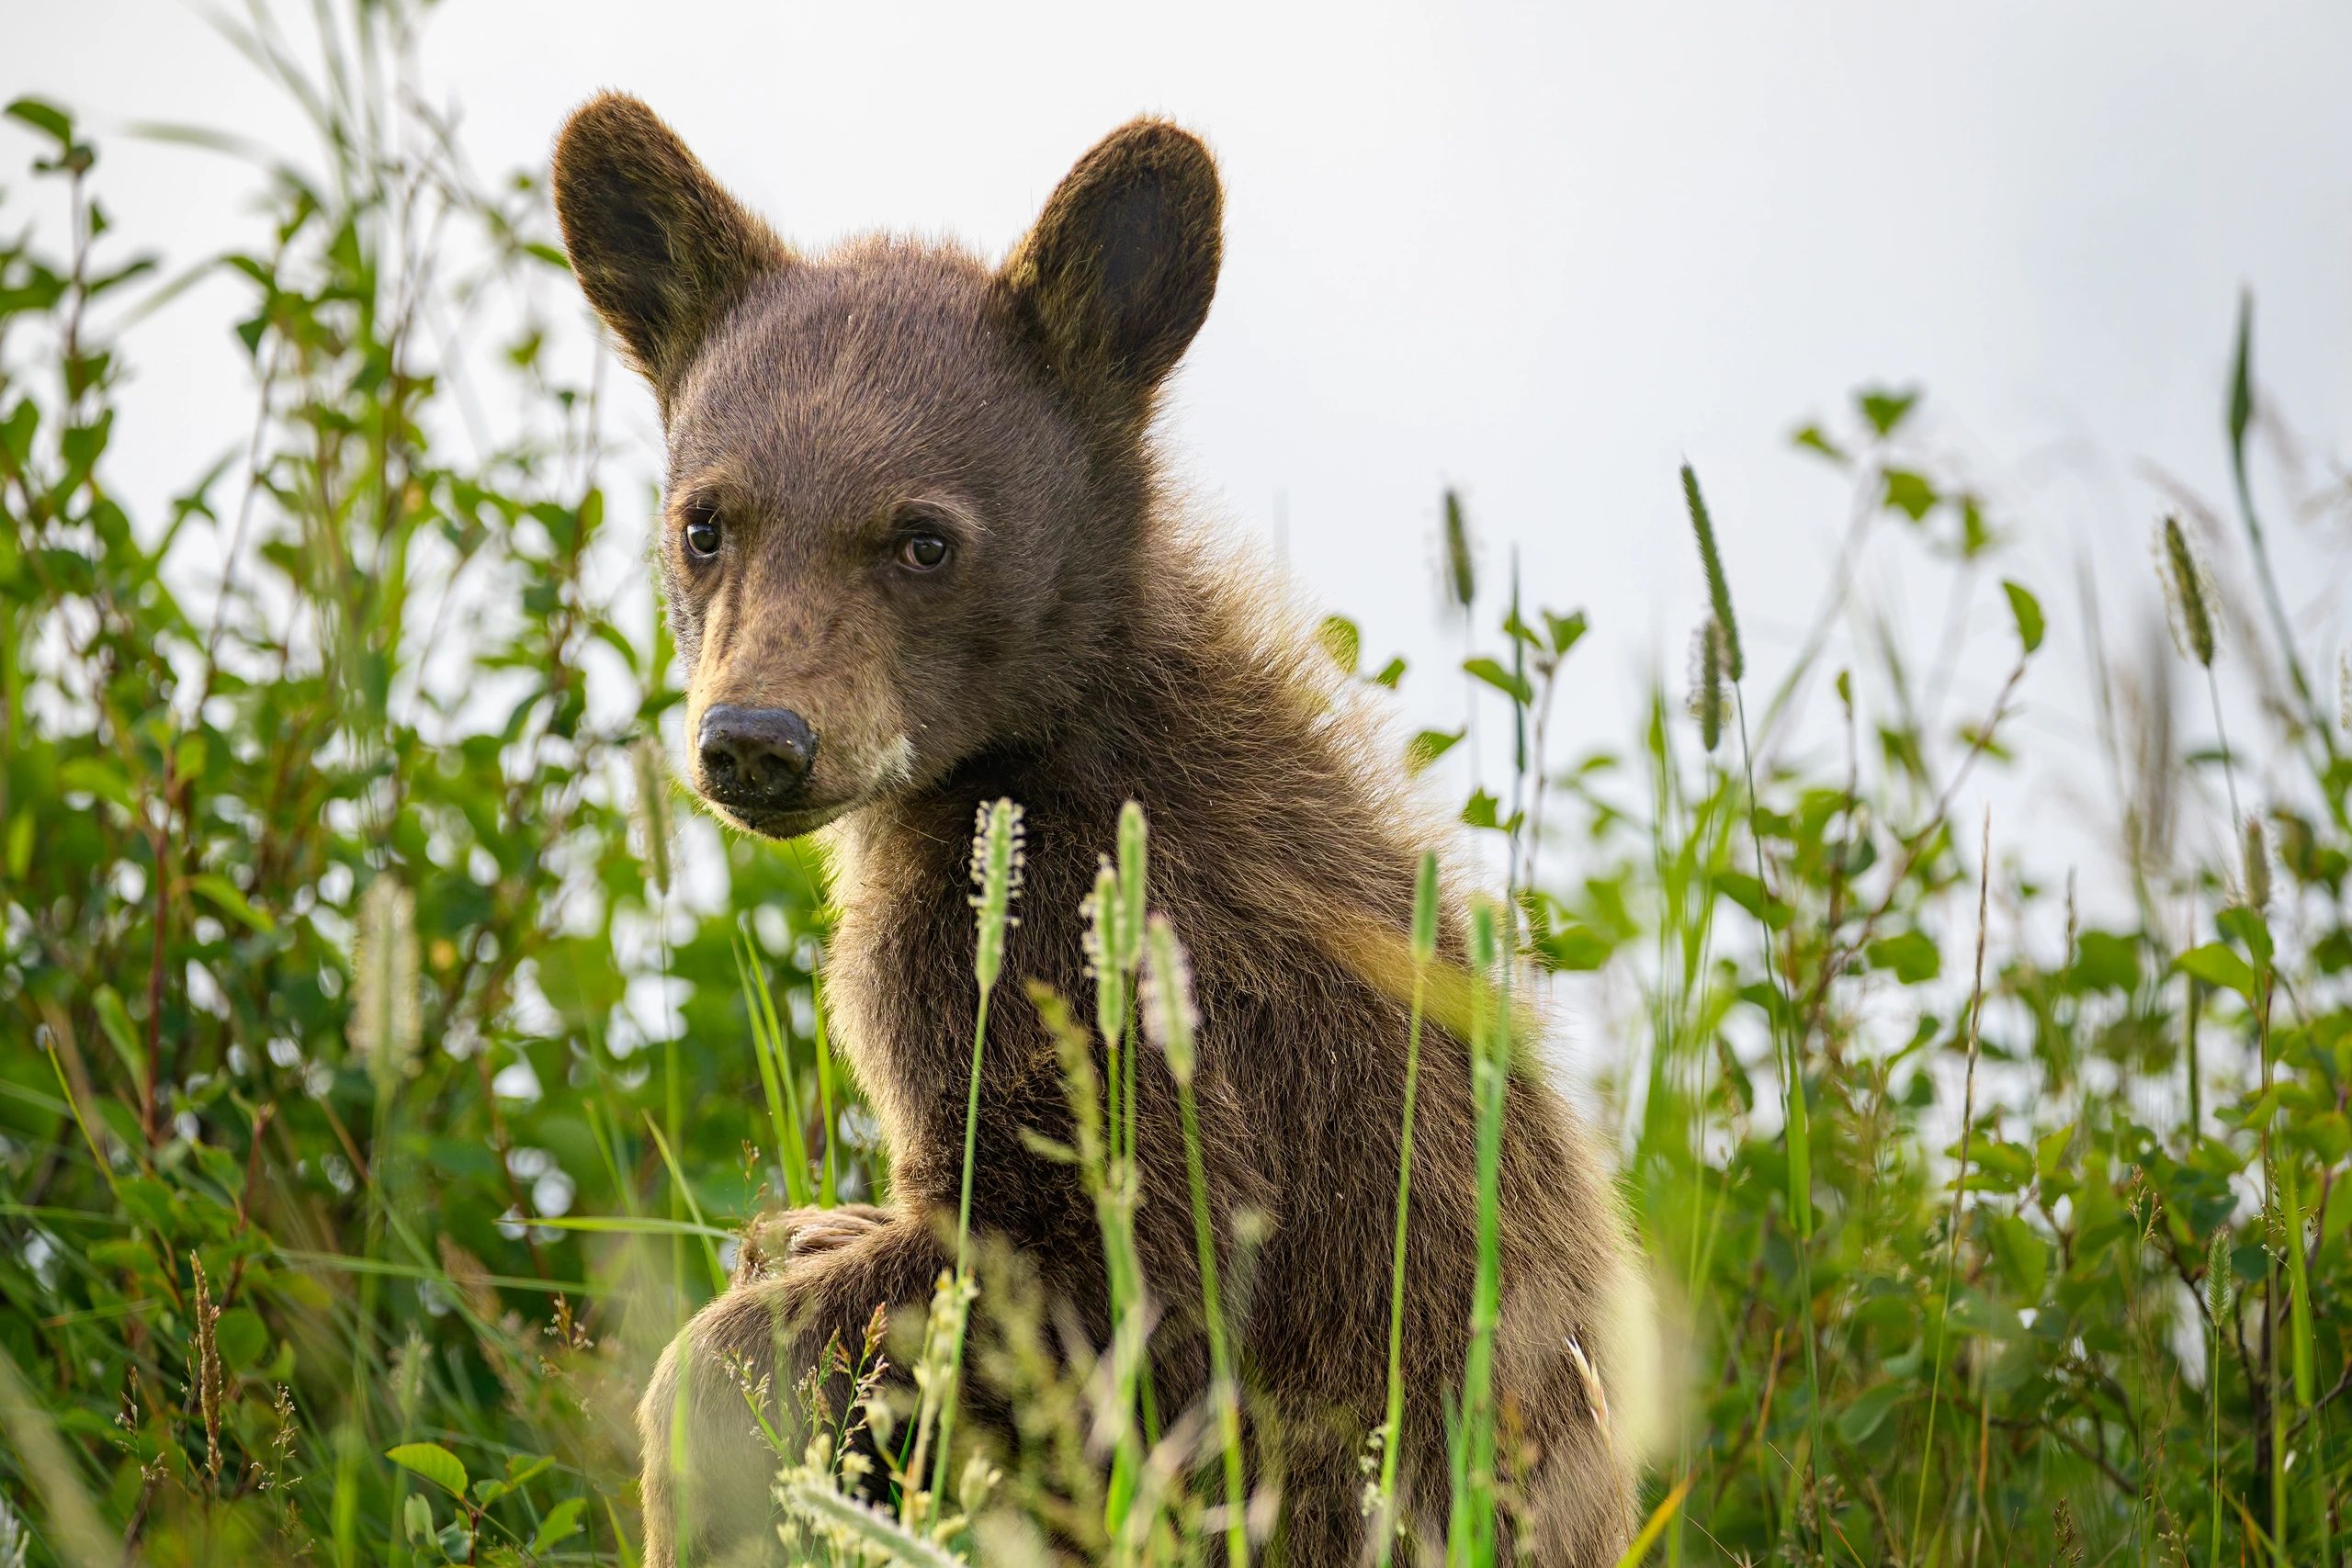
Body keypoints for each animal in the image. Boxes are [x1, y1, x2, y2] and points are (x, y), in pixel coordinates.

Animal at [551, 95, 1647, 1566]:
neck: (1025, 749)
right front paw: (803, 1229)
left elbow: (1097, 1253)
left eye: (922, 537)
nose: (758, 739)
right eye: (706, 521)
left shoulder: (1076, 959)